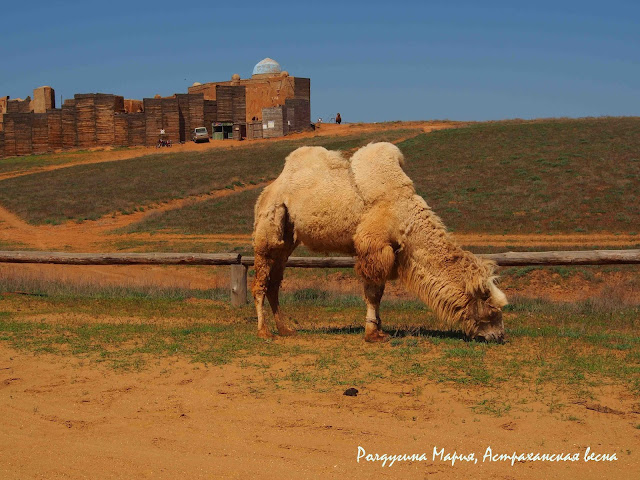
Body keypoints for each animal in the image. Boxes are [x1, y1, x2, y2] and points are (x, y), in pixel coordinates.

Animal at [252, 142, 508, 342]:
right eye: (492, 309)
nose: (499, 336)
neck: (405, 215)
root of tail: (271, 187)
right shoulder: (373, 246)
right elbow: (373, 292)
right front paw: (372, 333)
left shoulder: (389, 250)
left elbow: (379, 291)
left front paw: (379, 328)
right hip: (267, 226)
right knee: (261, 281)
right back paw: (264, 331)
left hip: (287, 240)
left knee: (274, 282)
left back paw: (285, 329)